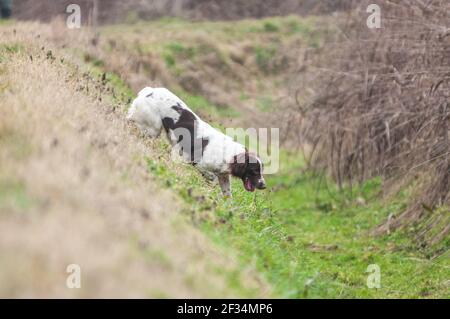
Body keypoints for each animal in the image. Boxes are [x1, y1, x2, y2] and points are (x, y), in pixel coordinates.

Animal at [126, 87, 266, 198]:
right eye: (254, 171)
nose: (263, 185)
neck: (228, 154)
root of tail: (150, 90)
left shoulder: (224, 176)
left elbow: (227, 195)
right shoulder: (195, 161)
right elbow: (212, 177)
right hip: (153, 127)